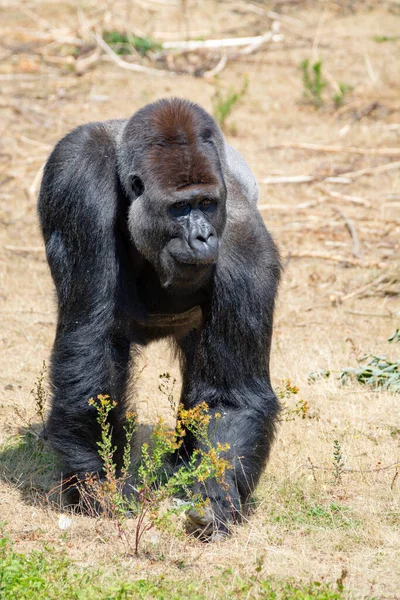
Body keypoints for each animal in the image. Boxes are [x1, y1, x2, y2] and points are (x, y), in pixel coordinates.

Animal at [38, 97, 282, 536]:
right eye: (180, 207)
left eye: (206, 204)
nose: (203, 236)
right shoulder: (79, 180)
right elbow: (92, 343)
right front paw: (94, 481)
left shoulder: (245, 245)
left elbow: (233, 394)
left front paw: (215, 491)